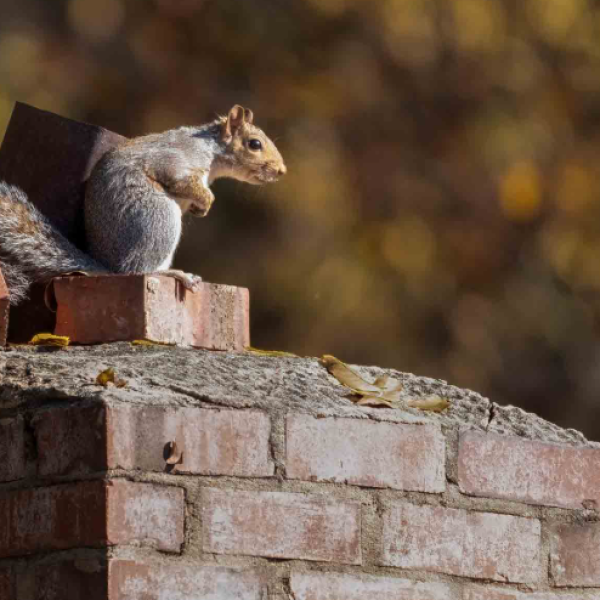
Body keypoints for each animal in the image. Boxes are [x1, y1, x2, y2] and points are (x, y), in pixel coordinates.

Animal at [0, 104, 288, 304]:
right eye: (254, 144)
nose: (281, 171)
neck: (212, 151)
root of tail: (111, 270)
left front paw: (199, 207)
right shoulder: (177, 161)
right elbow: (179, 179)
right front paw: (206, 201)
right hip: (158, 218)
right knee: (140, 270)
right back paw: (174, 274)